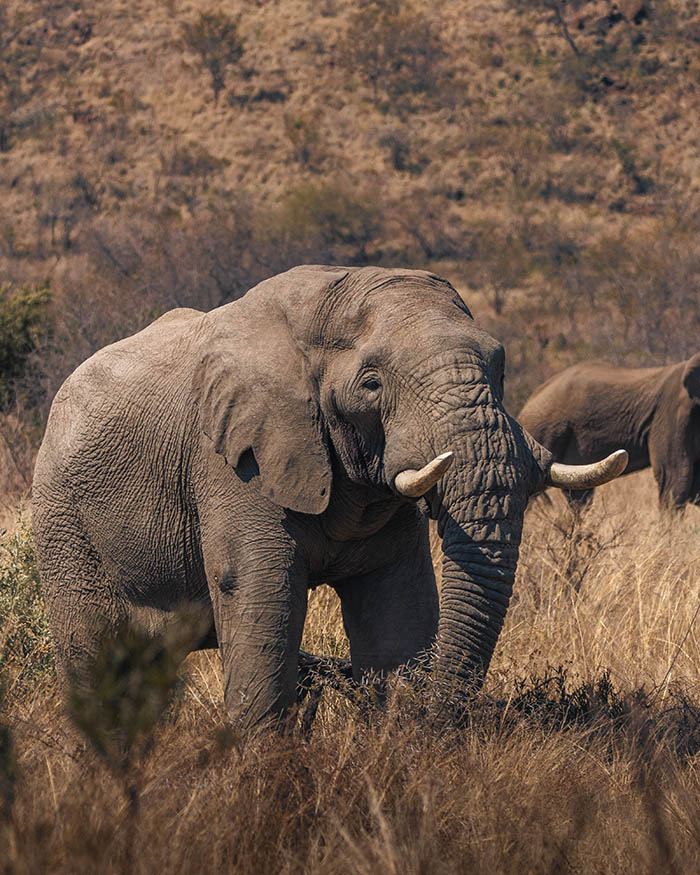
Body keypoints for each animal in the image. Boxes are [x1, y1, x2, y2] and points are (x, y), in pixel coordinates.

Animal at [32, 265, 627, 733]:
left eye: (501, 367)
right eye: (371, 383)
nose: (433, 717)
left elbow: (396, 605)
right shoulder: (233, 463)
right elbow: (261, 593)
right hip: (63, 521)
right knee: (94, 660)